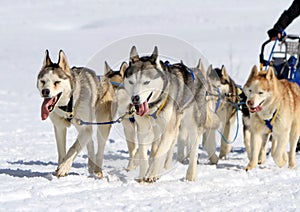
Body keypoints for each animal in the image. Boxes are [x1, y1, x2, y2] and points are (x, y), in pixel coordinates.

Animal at [122, 46, 218, 181]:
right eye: (131, 82)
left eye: (146, 82)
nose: (135, 98)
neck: (154, 107)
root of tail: (198, 73)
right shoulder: (144, 129)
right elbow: (143, 154)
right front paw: (143, 175)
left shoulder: (169, 129)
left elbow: (160, 152)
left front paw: (151, 174)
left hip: (193, 124)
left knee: (193, 149)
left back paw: (190, 175)